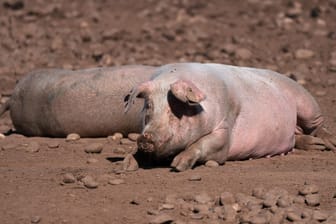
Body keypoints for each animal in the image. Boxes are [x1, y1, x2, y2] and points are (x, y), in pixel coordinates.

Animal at [126, 62, 336, 171]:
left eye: (175, 109)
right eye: (149, 107)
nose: (146, 138)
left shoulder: (225, 128)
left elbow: (207, 143)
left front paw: (178, 165)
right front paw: (128, 165)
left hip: (306, 103)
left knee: (318, 126)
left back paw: (327, 144)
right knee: (296, 137)